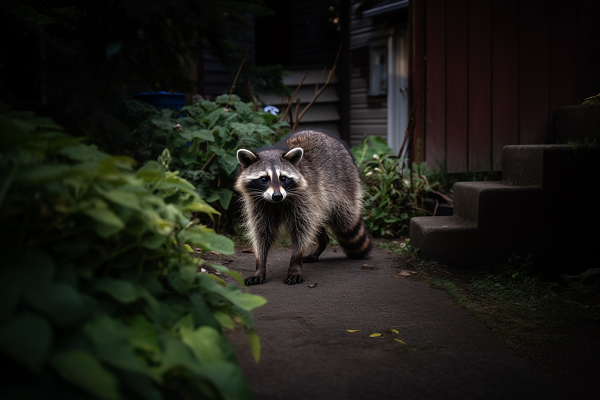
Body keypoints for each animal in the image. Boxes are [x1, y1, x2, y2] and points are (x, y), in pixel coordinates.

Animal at [234, 128, 370, 284]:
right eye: (264, 179)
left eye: (283, 178)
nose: (277, 196)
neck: (277, 203)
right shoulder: (258, 204)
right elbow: (262, 232)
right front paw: (260, 264)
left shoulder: (305, 196)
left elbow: (301, 230)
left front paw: (295, 262)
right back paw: (322, 243)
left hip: (344, 185)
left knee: (345, 220)